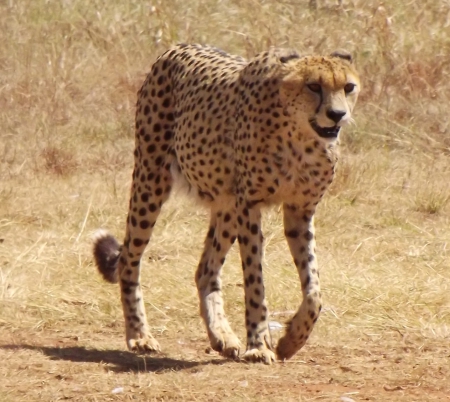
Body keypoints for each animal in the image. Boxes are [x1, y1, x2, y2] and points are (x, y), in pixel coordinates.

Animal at [93, 43, 360, 364]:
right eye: (313, 86)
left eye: (348, 87)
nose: (337, 114)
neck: (301, 136)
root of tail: (176, 47)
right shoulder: (250, 206)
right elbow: (255, 280)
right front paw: (259, 344)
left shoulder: (300, 211)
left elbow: (314, 291)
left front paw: (291, 340)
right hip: (151, 180)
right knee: (129, 261)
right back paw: (139, 335)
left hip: (226, 204)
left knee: (205, 270)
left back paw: (222, 335)